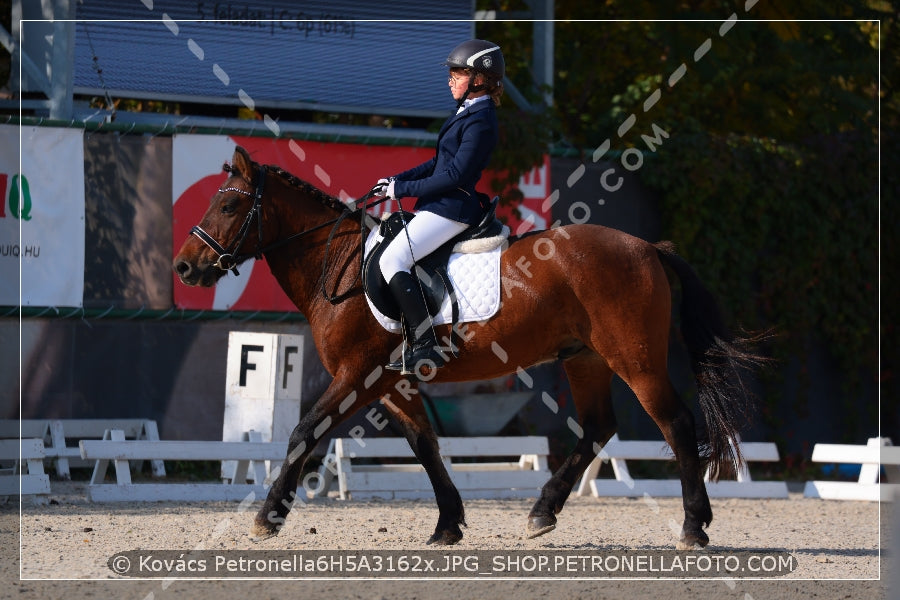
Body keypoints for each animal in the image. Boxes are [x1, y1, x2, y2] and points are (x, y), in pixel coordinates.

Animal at [174, 148, 760, 552]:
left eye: (229, 203)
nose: (184, 267)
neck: (339, 265)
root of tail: (646, 247)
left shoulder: (358, 374)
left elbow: (304, 432)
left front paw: (267, 517)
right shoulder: (392, 382)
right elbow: (425, 445)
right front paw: (448, 524)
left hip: (634, 360)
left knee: (676, 424)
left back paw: (692, 527)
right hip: (585, 358)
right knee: (597, 428)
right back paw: (542, 513)